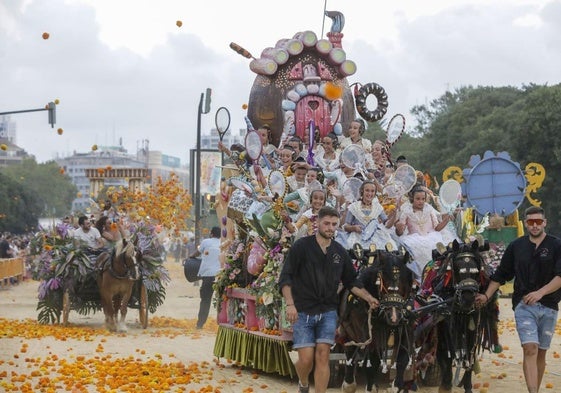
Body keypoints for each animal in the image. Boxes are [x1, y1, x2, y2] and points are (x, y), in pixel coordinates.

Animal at [336, 245, 416, 392]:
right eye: (382, 281)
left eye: (404, 281)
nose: (394, 316)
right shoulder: (369, 339)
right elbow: (371, 363)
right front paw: (371, 386)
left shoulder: (406, 333)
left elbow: (402, 360)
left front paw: (395, 386)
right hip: (348, 333)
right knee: (350, 353)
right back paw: (349, 384)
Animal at [416, 239, 498, 392]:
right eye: (457, 270)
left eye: (476, 272)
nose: (468, 298)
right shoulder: (444, 333)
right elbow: (447, 360)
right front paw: (445, 385)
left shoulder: (473, 330)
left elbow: (469, 358)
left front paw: (467, 385)